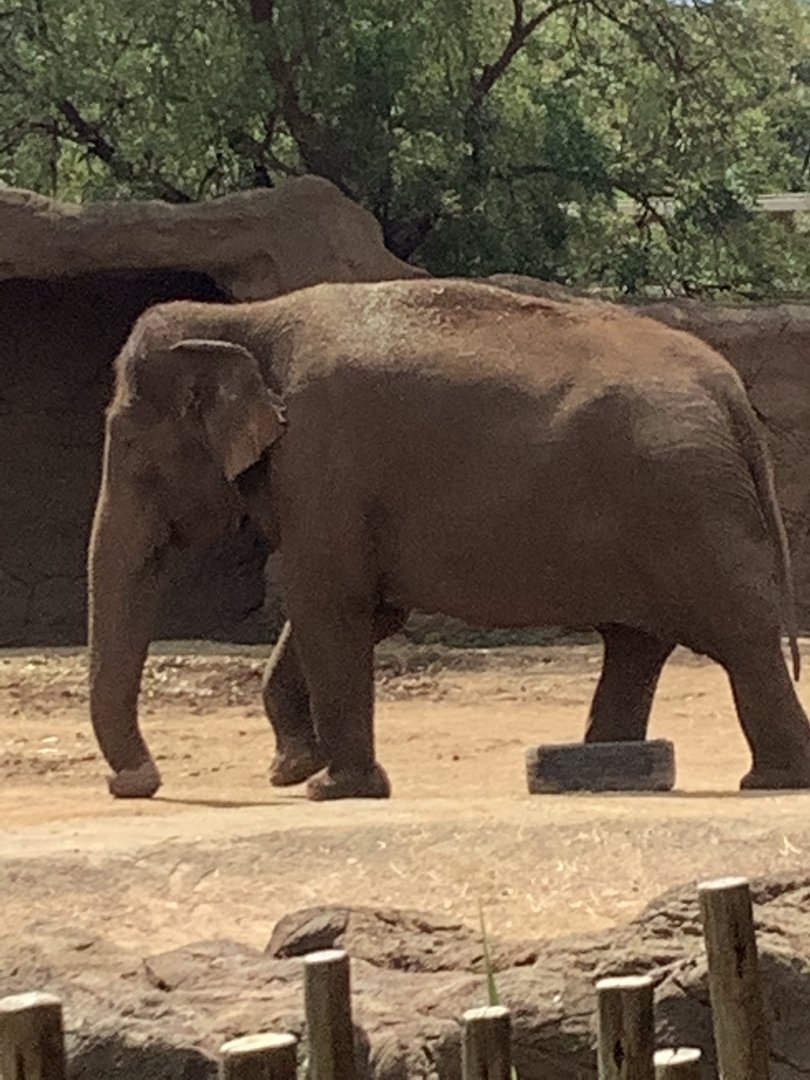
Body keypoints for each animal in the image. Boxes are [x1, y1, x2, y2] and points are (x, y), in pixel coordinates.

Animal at [87, 277, 810, 801]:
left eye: (132, 452)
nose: (136, 782)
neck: (247, 319)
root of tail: (725, 387)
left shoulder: (322, 461)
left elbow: (328, 602)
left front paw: (333, 790)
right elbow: (365, 610)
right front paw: (292, 770)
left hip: (685, 504)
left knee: (737, 632)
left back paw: (769, 780)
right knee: (637, 641)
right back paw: (606, 769)